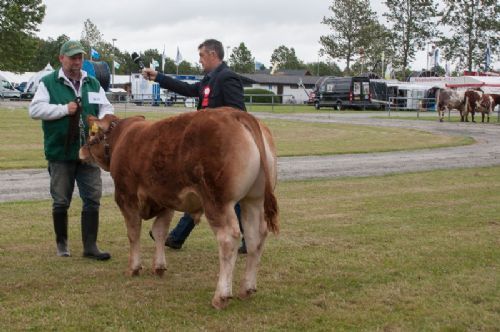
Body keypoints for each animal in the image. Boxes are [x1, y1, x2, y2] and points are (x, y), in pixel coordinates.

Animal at [80, 107, 280, 310]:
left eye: (92, 134)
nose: (81, 151)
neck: (121, 137)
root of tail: (236, 113)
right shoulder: (165, 200)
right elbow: (159, 232)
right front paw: (159, 267)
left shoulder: (126, 197)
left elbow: (133, 233)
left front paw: (134, 268)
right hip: (253, 200)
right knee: (256, 237)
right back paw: (247, 288)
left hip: (218, 201)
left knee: (228, 238)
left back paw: (221, 296)